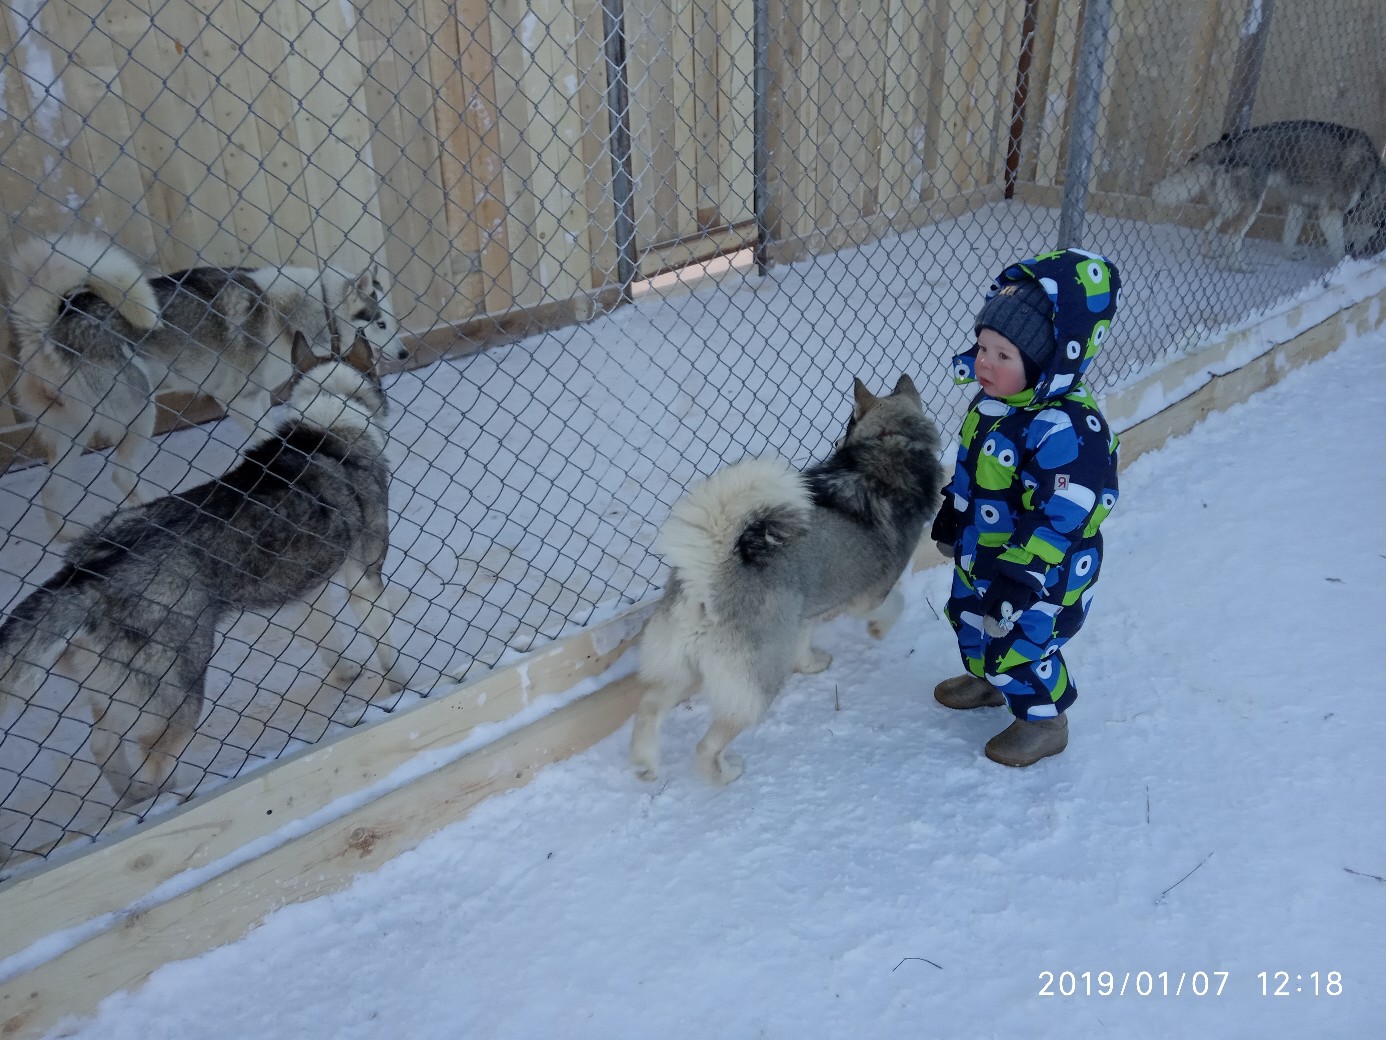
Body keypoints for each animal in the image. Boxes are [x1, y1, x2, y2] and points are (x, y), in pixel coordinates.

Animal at [0, 330, 407, 809]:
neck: (331, 414)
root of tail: (86, 574)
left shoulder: (308, 587)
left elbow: (329, 640)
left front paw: (344, 673)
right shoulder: (364, 578)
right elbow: (387, 648)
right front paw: (401, 690)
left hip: (120, 695)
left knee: (102, 747)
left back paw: (132, 797)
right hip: (178, 701)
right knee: (154, 760)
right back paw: (166, 800)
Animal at [2, 234, 404, 546]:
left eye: (393, 322)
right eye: (381, 324)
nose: (404, 353)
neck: (313, 304)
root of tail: (48, 327)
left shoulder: (256, 397)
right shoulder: (239, 398)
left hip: (72, 436)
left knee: (50, 489)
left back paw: (67, 536)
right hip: (141, 411)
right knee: (121, 475)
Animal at [629, 379, 942, 787]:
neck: (891, 444)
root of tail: (711, 576)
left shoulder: (803, 607)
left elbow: (804, 641)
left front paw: (810, 665)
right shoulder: (869, 595)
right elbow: (895, 604)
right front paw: (878, 631)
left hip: (678, 668)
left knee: (648, 708)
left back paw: (645, 763)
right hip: (755, 685)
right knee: (707, 746)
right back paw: (724, 774)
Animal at [1153, 121, 1386, 273]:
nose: (1361, 253)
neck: (1372, 180)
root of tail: (1232, 140)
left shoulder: (1299, 206)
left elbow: (1289, 238)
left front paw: (1290, 256)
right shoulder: (1330, 215)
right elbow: (1338, 247)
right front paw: (1344, 266)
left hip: (1230, 206)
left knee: (1210, 226)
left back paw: (1210, 254)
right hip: (1251, 206)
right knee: (1230, 238)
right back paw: (1239, 267)